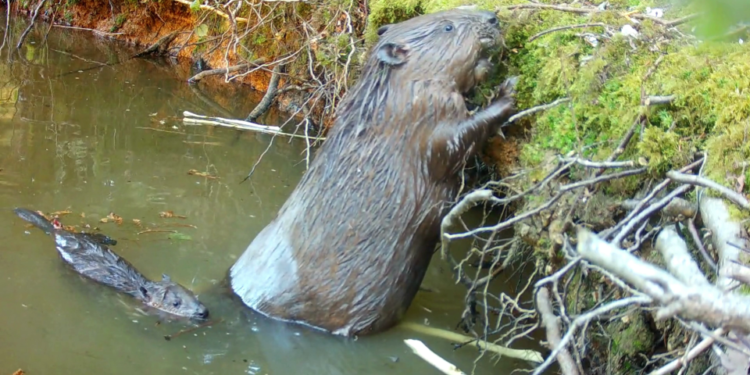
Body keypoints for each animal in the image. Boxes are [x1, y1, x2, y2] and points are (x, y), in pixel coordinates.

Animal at [232, 7, 520, 338]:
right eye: (447, 27)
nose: (492, 18)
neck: (389, 98)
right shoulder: (422, 115)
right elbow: (455, 141)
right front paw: (507, 91)